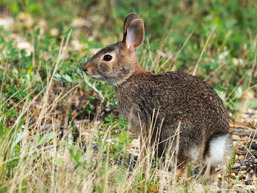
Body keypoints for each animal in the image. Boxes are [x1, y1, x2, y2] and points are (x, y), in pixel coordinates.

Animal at [82, 12, 232, 169]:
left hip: (174, 135)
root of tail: (211, 136)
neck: (128, 78)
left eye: (107, 57)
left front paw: (141, 164)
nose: (84, 68)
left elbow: (143, 145)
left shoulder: (141, 121)